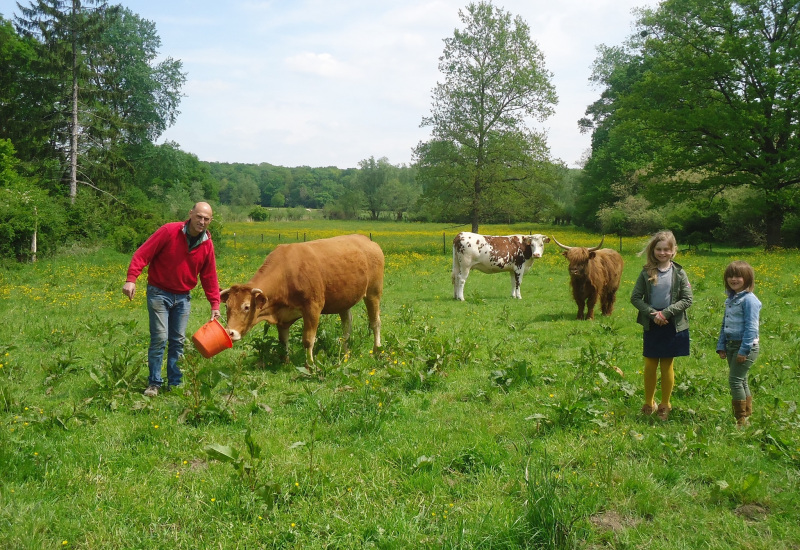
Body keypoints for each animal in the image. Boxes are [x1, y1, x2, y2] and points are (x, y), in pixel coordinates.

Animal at [217, 234, 382, 366]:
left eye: (246, 307)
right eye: (227, 307)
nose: (230, 332)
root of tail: (366, 239)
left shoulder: (313, 308)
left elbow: (308, 340)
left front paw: (310, 365)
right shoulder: (282, 316)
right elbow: (283, 340)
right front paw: (286, 362)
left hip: (373, 292)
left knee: (375, 322)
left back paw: (376, 350)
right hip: (344, 300)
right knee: (347, 326)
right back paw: (345, 353)